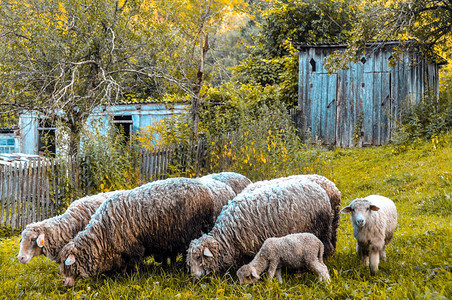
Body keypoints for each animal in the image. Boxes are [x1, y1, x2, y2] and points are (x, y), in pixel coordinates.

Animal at [59, 177, 237, 288]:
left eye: (67, 265)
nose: (63, 283)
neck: (103, 234)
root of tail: (205, 188)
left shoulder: (134, 247)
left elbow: (135, 266)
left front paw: (133, 279)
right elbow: (124, 266)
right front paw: (122, 276)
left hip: (195, 230)